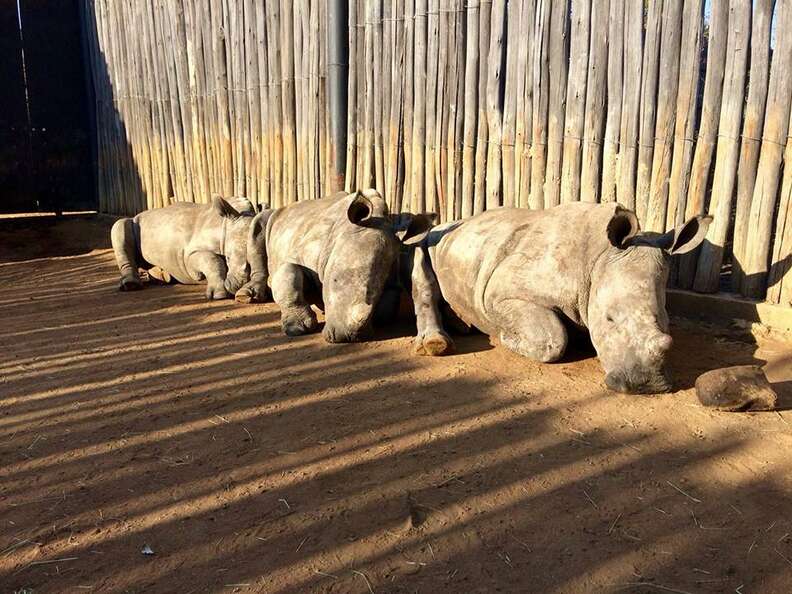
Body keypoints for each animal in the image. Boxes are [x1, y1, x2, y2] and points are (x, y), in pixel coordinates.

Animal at [110, 196, 271, 301]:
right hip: (134, 221)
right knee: (119, 226)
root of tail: (140, 213)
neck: (224, 226)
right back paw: (131, 286)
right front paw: (219, 295)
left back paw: (162, 276)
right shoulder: (188, 256)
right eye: (228, 258)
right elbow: (212, 261)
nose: (238, 286)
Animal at [236, 188, 451, 350]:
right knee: (258, 225)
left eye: (376, 291)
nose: (348, 337)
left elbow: (386, 308)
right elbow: (289, 275)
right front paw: (297, 328)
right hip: (275, 217)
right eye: (334, 280)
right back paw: (245, 296)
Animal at [423, 202, 711, 394]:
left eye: (664, 321)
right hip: (436, 240)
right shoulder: (500, 293)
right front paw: (506, 338)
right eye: (609, 319)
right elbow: (554, 339)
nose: (646, 385)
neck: (598, 258)